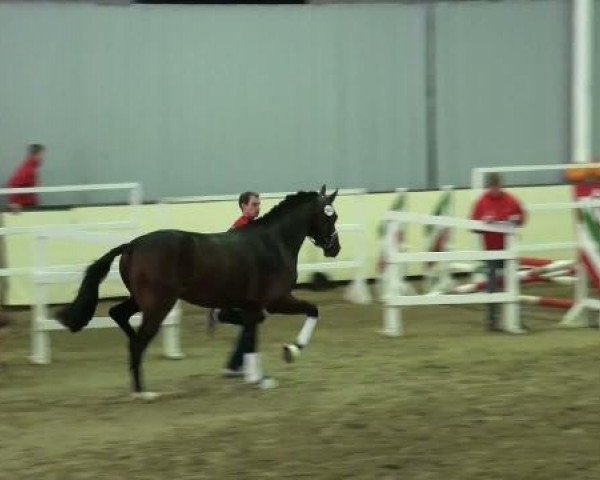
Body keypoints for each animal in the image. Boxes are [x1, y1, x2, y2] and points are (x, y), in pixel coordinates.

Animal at [58, 186, 340, 400]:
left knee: (118, 315)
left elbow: (251, 337)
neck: (273, 242)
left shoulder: (252, 306)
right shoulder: (275, 300)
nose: (334, 248)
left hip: (142, 301)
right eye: (331, 216)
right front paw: (292, 350)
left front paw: (258, 378)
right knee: (138, 340)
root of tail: (132, 245)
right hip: (159, 305)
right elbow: (313, 310)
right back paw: (143, 393)